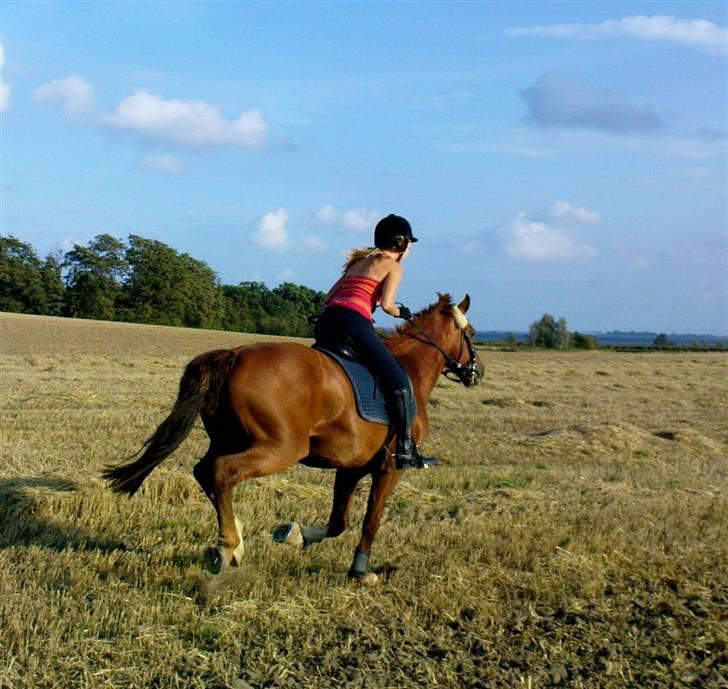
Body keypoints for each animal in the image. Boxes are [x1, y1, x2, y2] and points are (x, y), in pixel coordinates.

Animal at [102, 292, 484, 584]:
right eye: (472, 333)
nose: (477, 372)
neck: (411, 369)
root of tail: (232, 355)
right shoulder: (390, 469)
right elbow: (370, 521)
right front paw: (361, 572)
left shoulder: (350, 467)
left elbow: (338, 522)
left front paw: (293, 533)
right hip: (279, 448)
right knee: (221, 472)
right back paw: (226, 547)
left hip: (231, 438)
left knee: (204, 471)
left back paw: (236, 543)